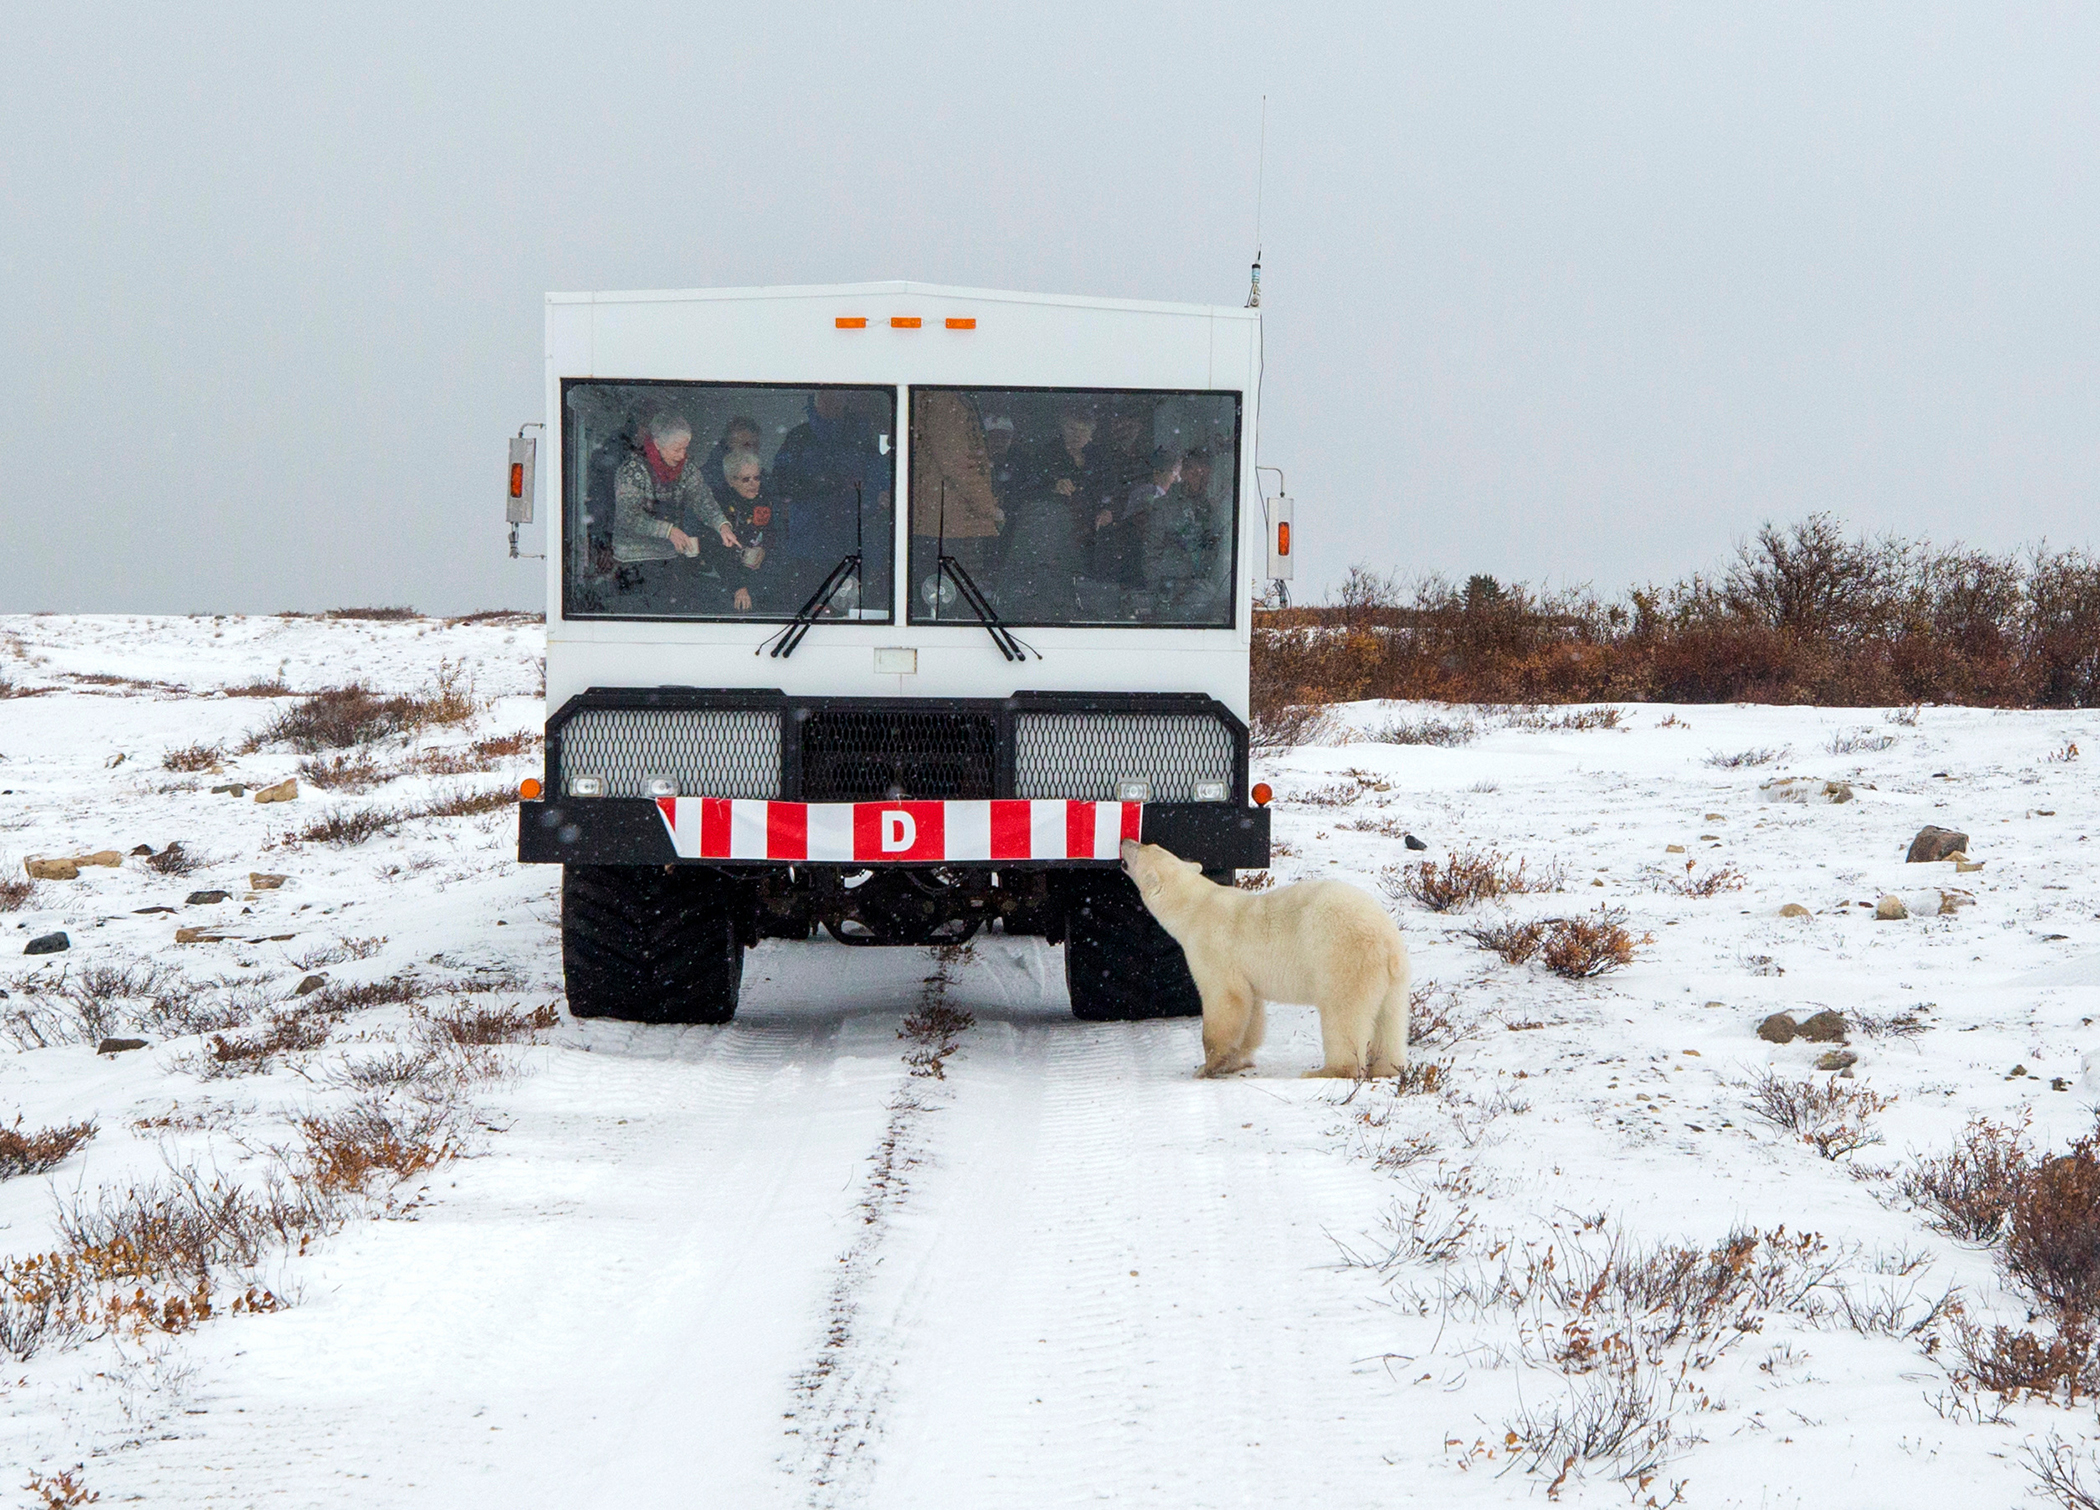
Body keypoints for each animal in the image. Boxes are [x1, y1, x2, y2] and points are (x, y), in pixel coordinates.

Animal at [1118, 839, 1411, 1079]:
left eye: (1142, 849)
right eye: (1150, 844)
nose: (1125, 840)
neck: (1196, 907)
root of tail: (1387, 942)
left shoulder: (1213, 949)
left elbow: (1225, 1000)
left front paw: (1207, 1067)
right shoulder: (1247, 973)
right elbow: (1251, 1009)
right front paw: (1237, 1060)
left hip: (1343, 960)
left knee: (1343, 1014)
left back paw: (1327, 1071)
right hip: (1394, 979)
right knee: (1390, 1020)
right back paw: (1387, 1068)